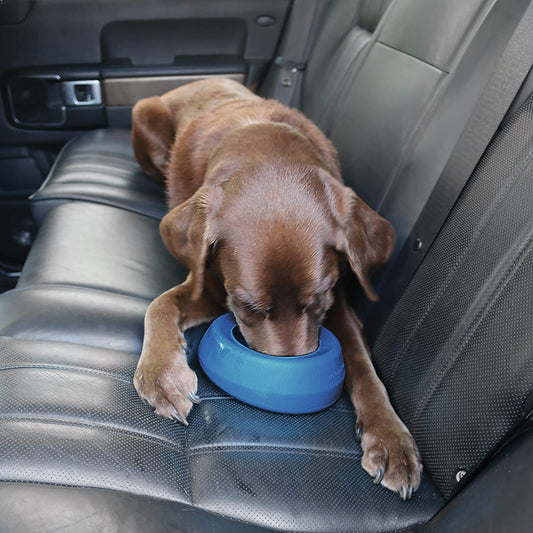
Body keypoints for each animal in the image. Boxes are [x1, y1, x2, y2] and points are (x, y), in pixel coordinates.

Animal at [132, 78, 420, 498]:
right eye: (247, 307)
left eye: (321, 300)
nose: (290, 380)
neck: (261, 139)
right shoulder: (210, 284)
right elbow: (160, 305)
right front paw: (162, 375)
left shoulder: (341, 305)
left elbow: (363, 366)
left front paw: (391, 439)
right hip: (144, 112)